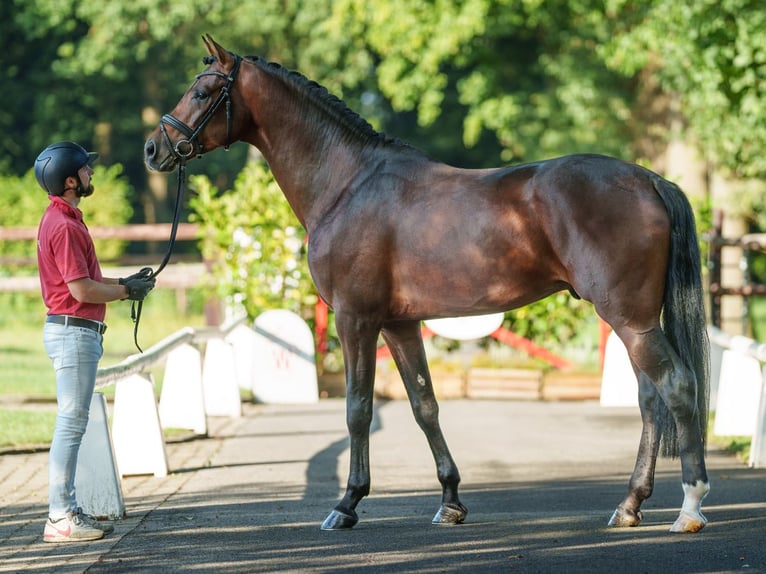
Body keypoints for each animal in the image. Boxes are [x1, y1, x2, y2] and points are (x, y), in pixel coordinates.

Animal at [146, 35, 712, 536]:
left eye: (203, 91)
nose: (155, 148)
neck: (347, 183)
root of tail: (649, 180)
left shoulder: (356, 319)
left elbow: (357, 409)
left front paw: (347, 504)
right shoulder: (400, 324)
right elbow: (425, 405)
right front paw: (451, 501)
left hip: (630, 319)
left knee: (678, 387)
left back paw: (689, 507)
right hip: (633, 321)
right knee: (649, 398)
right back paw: (630, 505)